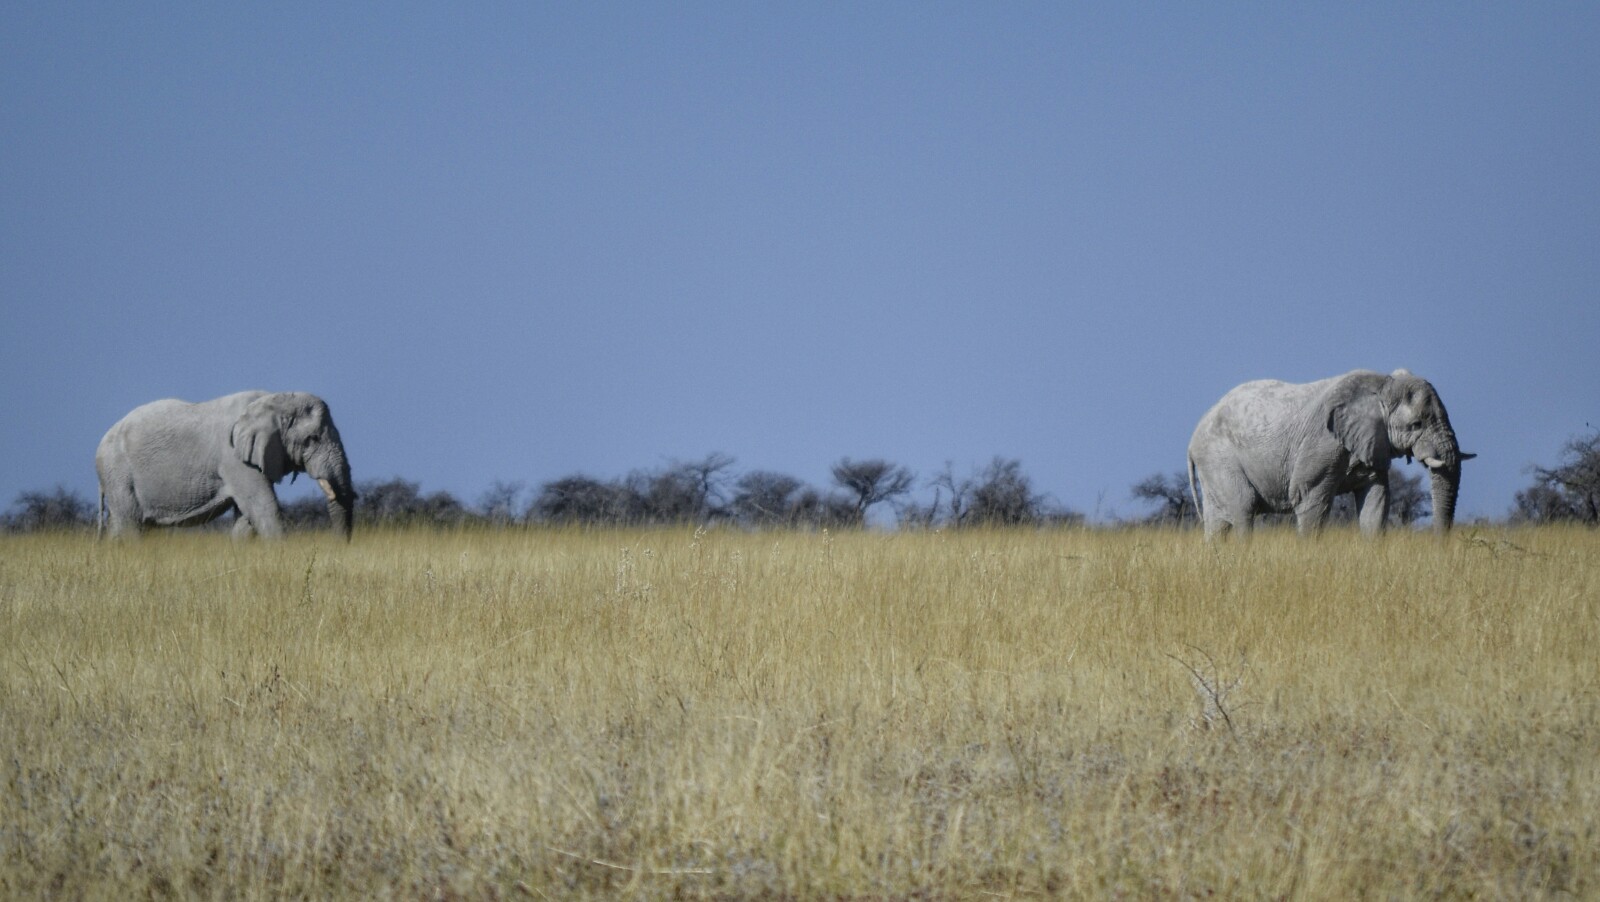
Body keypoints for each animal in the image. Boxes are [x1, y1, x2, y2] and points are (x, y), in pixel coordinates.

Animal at [96, 391, 356, 539]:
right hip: (118, 474)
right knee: (130, 525)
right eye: (312, 439)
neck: (276, 399)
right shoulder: (234, 458)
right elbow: (263, 508)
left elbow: (246, 518)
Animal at [1187, 369, 1472, 537]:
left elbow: (1376, 501)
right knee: (1243, 510)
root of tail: (1192, 440)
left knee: (1217, 524)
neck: (1382, 386)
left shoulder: (1372, 446)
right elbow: (1309, 500)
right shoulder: (1322, 443)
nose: (1439, 544)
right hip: (1218, 458)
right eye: (1416, 425)